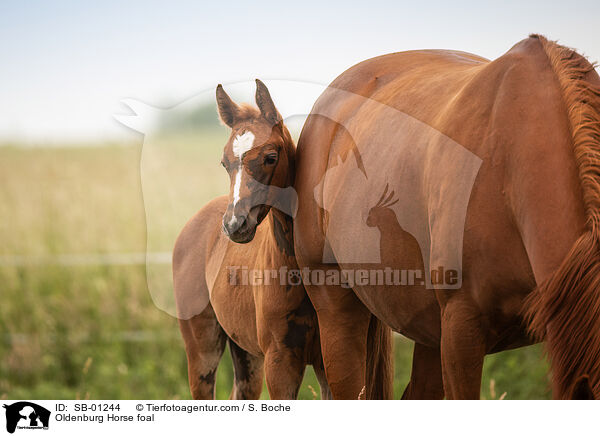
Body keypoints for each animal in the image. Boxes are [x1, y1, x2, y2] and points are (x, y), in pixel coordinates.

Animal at [172, 80, 332, 400]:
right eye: (224, 163)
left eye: (271, 157)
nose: (235, 224)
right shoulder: (280, 361)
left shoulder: (327, 358)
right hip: (203, 350)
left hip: (246, 354)